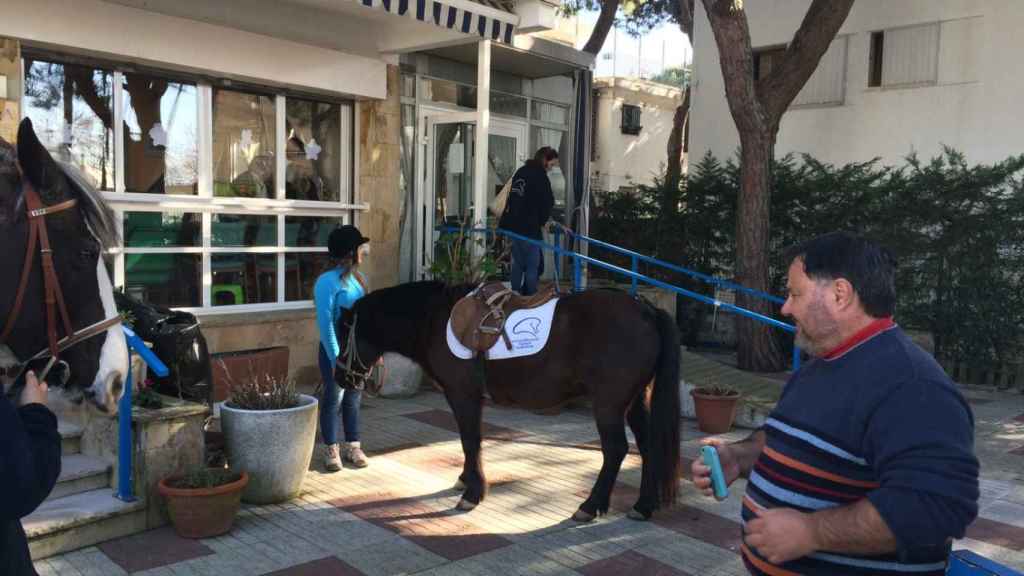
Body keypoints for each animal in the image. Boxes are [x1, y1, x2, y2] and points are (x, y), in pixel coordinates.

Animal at [339, 280, 684, 518]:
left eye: (344, 334)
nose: (340, 377)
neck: (434, 320)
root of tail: (646, 310)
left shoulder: (462, 395)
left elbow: (470, 441)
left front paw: (472, 494)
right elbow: (471, 441)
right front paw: (465, 481)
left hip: (609, 405)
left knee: (615, 451)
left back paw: (590, 506)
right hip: (635, 402)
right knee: (648, 446)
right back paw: (643, 505)